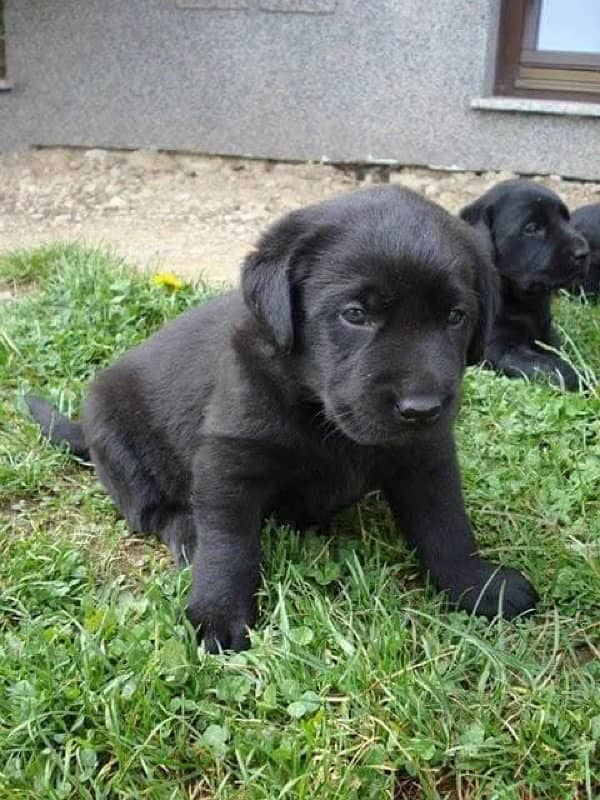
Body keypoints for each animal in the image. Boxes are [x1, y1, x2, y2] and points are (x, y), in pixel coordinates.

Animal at [27, 188, 540, 648]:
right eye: (355, 314)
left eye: (456, 316)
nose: (423, 408)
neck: (319, 412)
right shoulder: (228, 457)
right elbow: (229, 543)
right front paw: (218, 612)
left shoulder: (426, 455)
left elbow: (446, 523)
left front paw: (479, 585)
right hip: (118, 440)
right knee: (155, 511)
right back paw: (188, 534)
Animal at [462, 179, 588, 390]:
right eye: (532, 228)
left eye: (566, 219)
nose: (583, 252)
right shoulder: (498, 348)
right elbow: (550, 365)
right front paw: (583, 378)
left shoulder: (546, 331)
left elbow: (557, 351)